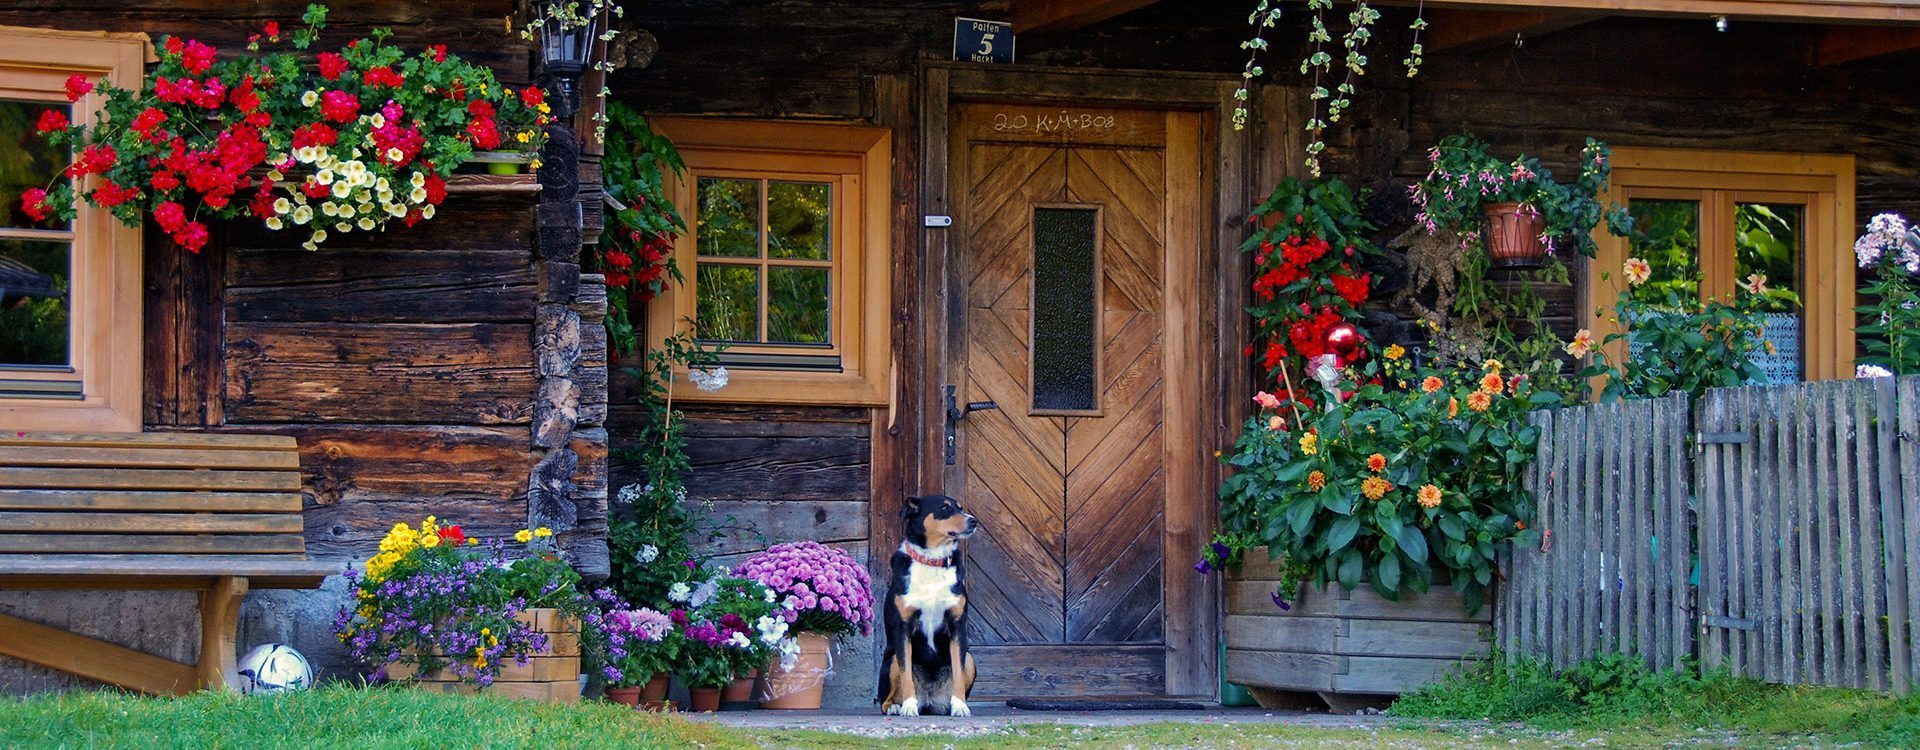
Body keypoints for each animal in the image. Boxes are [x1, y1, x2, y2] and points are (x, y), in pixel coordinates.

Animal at [879, 494, 983, 717]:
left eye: (960, 507)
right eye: (945, 508)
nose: (973, 521)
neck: (932, 561)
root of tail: (929, 700)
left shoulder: (957, 626)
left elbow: (958, 673)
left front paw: (960, 706)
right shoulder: (903, 628)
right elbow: (906, 675)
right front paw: (909, 706)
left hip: (970, 658)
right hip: (891, 660)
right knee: (885, 698)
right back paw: (895, 706)